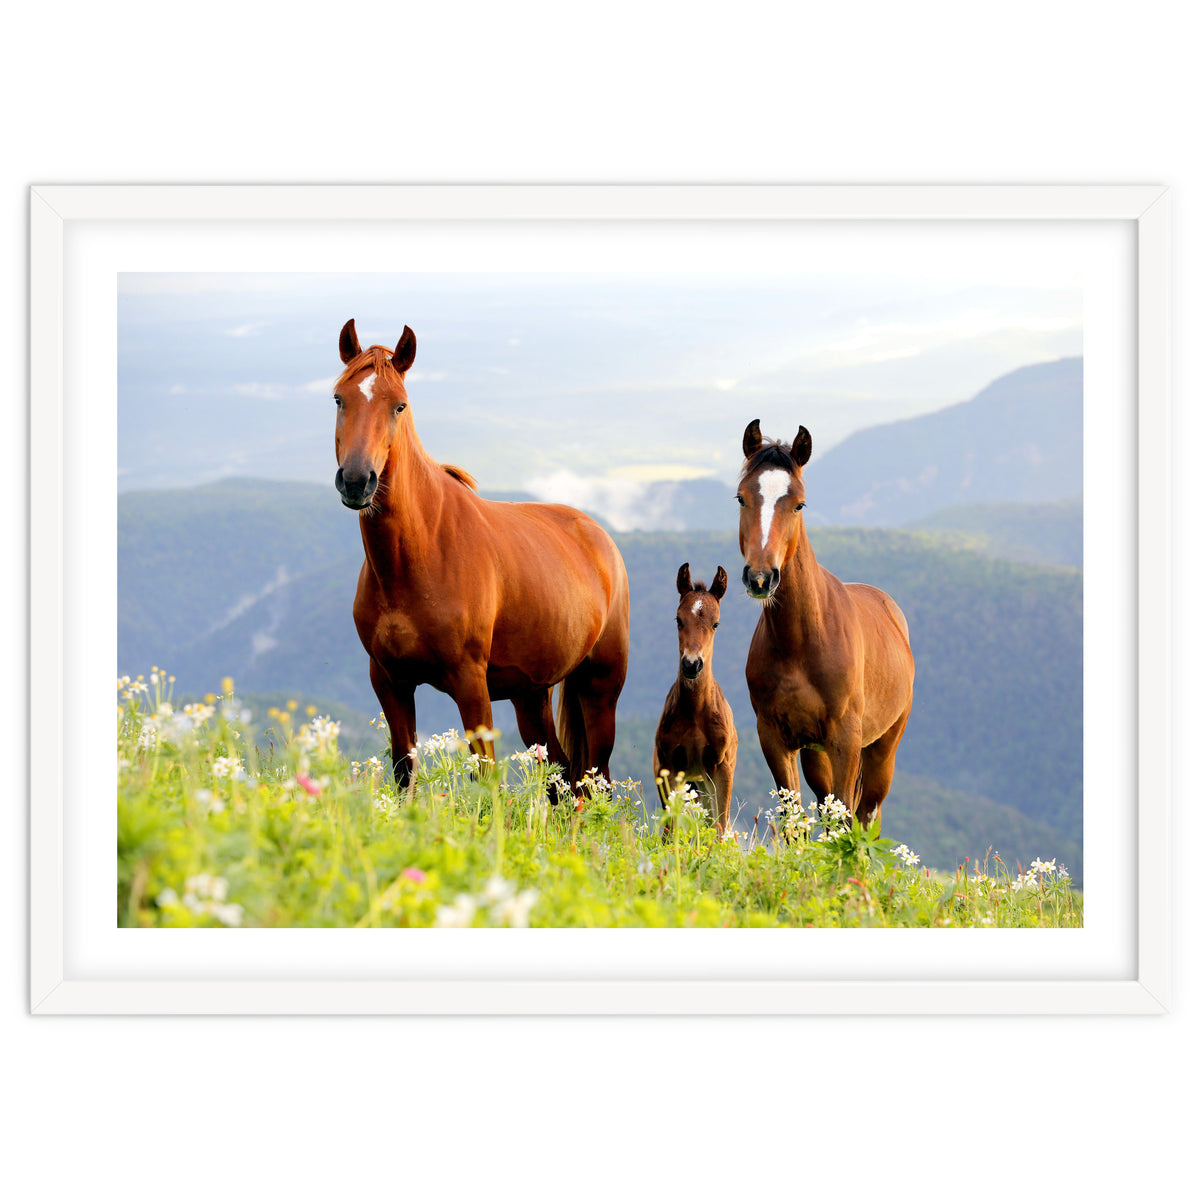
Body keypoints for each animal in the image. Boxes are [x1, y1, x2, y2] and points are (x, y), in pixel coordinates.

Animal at [331, 319, 629, 791]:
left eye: (399, 406)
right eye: (340, 398)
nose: (358, 480)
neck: (417, 557)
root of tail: (600, 538)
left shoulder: (470, 683)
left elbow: (486, 778)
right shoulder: (389, 681)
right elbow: (404, 771)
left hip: (600, 688)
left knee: (593, 781)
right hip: (531, 695)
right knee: (561, 776)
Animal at [652, 563, 739, 833]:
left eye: (716, 623)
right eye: (678, 619)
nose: (692, 664)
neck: (695, 712)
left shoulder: (721, 767)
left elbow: (720, 827)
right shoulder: (668, 767)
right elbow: (669, 828)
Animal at [737, 420, 914, 827]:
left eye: (799, 503)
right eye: (741, 498)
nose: (760, 578)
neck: (801, 642)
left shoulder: (845, 740)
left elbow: (847, 817)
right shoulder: (776, 739)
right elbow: (792, 819)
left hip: (882, 748)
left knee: (867, 814)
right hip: (815, 754)